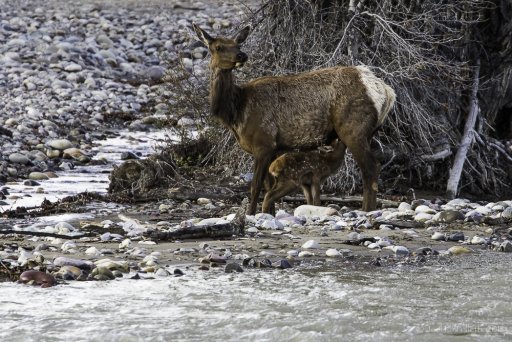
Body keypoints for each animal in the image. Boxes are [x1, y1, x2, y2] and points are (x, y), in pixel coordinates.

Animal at [192, 23, 396, 214]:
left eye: (238, 44)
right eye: (218, 47)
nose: (242, 55)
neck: (235, 113)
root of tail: (387, 91)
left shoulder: (264, 143)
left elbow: (255, 186)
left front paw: (250, 214)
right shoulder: (273, 149)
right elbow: (268, 187)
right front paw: (269, 214)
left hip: (353, 129)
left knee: (371, 168)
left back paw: (367, 210)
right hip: (368, 132)